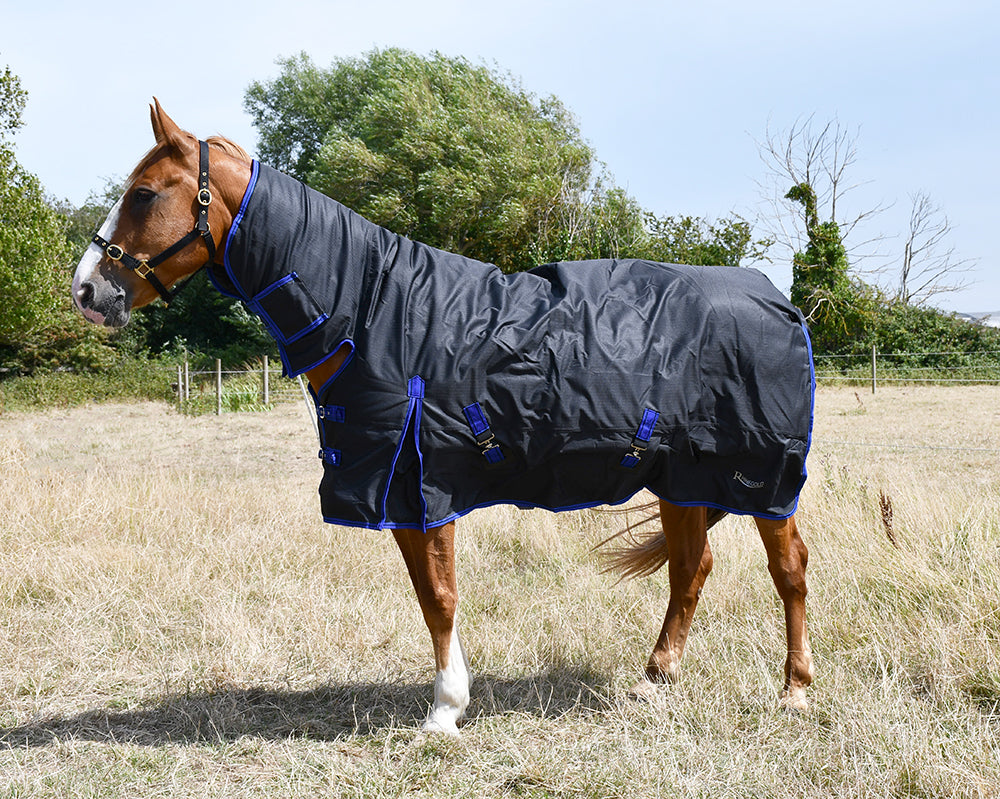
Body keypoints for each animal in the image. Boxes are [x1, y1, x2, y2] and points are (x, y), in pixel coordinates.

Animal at [72, 100, 815, 735]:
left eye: (144, 193)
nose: (85, 289)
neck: (374, 310)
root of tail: (776, 299)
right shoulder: (407, 491)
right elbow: (434, 596)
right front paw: (450, 701)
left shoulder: (419, 487)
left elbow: (439, 595)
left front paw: (446, 710)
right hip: (682, 477)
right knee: (692, 569)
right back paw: (655, 681)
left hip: (762, 477)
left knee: (789, 569)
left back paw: (795, 690)